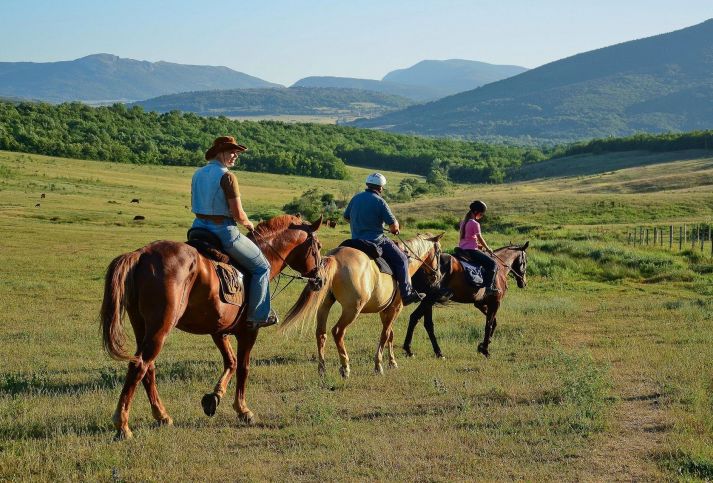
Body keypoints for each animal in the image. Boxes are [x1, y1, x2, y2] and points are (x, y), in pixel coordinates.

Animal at [100, 214, 322, 440]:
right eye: (318, 247)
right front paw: (243, 410)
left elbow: (231, 362)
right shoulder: (249, 331)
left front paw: (214, 397)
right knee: (139, 366)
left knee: (147, 367)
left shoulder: (219, 331)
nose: (319, 279)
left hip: (142, 327)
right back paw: (123, 424)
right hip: (160, 328)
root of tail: (141, 254)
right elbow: (243, 367)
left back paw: (162, 416)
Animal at [280, 233, 442, 378]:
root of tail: (334, 257)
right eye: (439, 252)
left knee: (321, 333)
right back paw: (345, 367)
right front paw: (378, 365)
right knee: (338, 332)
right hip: (352, 310)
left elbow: (390, 334)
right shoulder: (396, 308)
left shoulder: (385, 311)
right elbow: (385, 335)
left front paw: (392, 362)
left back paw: (322, 369)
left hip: (324, 306)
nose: (437, 276)